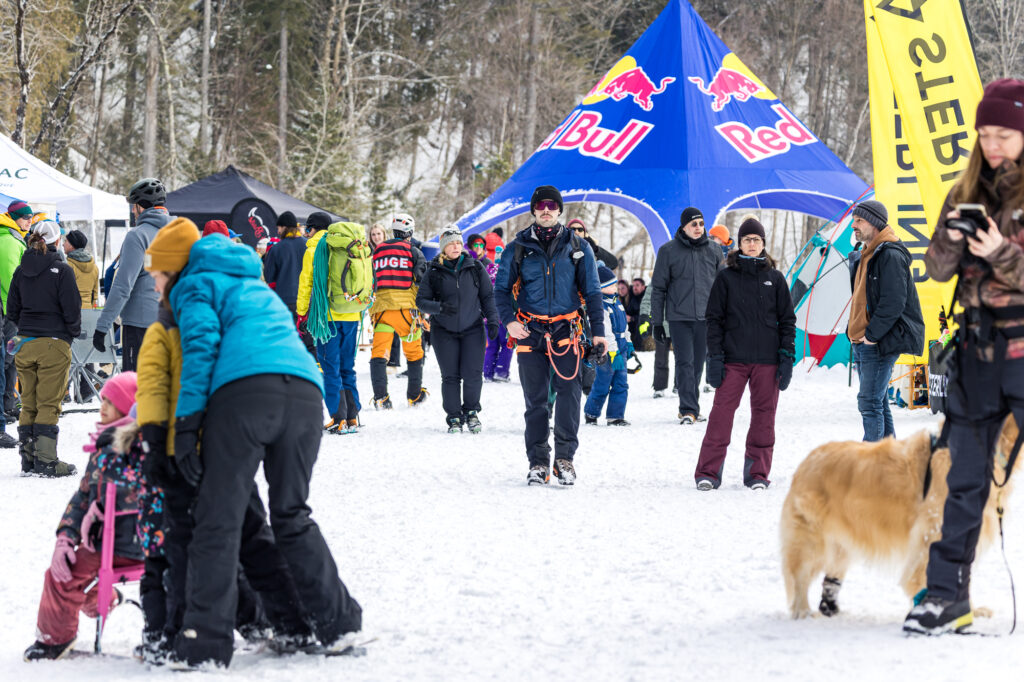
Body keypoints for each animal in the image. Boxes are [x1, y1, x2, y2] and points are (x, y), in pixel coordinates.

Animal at [778, 413, 1011, 614]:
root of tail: (805, 463)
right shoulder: (933, 530)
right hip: (813, 540)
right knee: (799, 577)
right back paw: (803, 612)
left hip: (842, 542)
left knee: (830, 576)